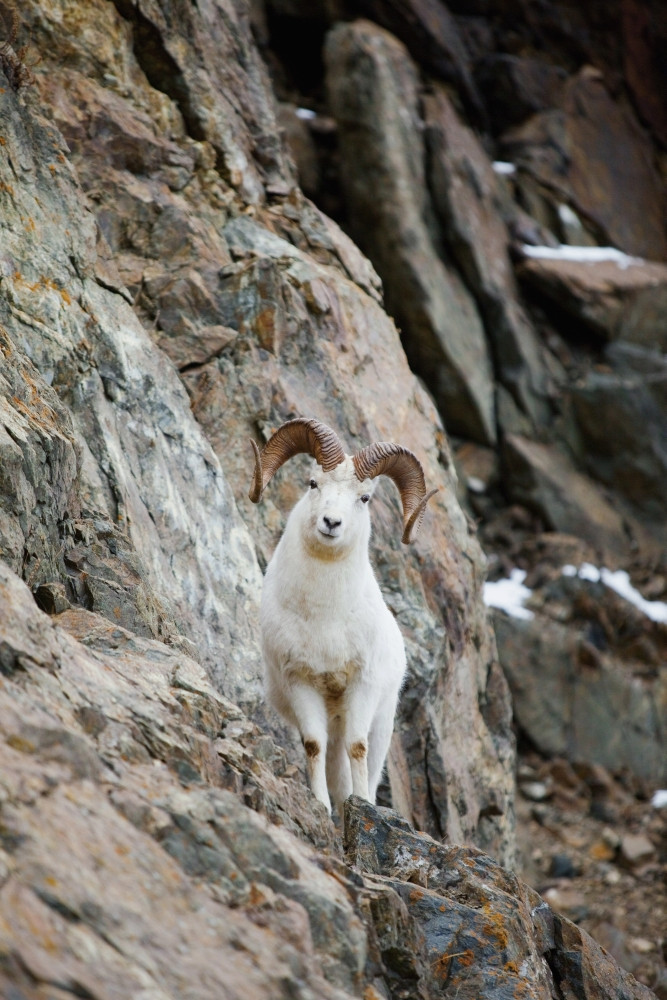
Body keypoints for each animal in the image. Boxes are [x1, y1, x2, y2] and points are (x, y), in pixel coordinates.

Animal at [248, 416, 437, 815]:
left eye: (363, 498)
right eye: (313, 483)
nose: (331, 523)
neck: (324, 617)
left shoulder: (360, 686)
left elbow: (357, 747)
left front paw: (361, 804)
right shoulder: (302, 684)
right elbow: (313, 746)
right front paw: (321, 807)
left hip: (381, 726)